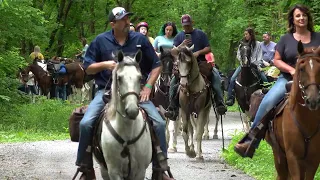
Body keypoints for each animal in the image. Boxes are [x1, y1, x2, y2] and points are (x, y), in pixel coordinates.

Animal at [99, 50, 151, 179]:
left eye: (140, 78)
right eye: (119, 78)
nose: (132, 110)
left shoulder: (140, 171)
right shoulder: (114, 171)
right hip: (104, 170)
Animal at [266, 41, 320, 179]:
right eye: (301, 68)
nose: (313, 100)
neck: (306, 121)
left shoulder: (313, 160)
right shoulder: (292, 157)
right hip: (279, 156)